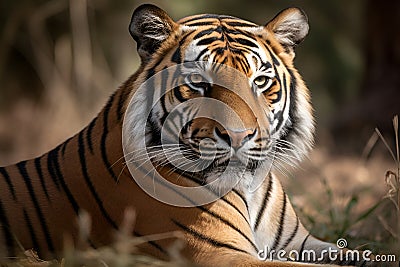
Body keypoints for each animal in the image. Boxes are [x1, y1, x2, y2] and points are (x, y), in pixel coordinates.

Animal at [0, 4, 376, 267]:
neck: (249, 188)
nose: (238, 136)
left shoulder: (300, 243)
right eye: (198, 83)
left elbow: (363, 255)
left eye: (260, 81)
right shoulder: (221, 254)